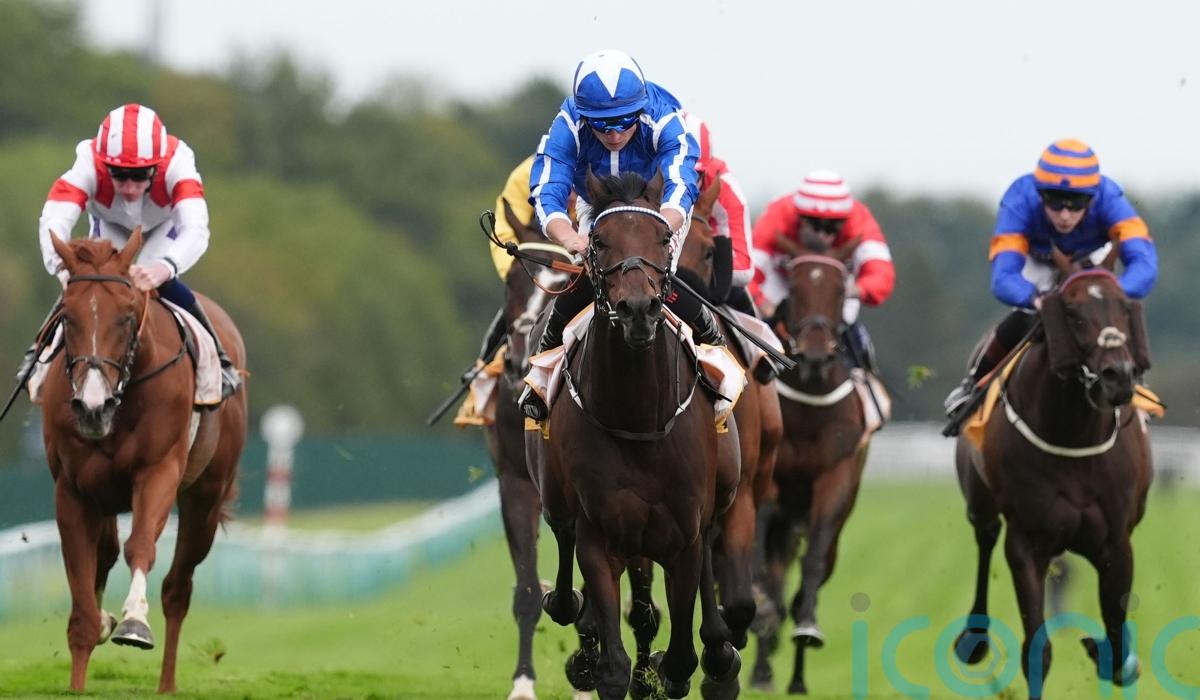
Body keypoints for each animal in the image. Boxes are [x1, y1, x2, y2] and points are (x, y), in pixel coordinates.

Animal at [42, 230, 247, 693]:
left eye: (127, 314)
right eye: (68, 316)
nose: (91, 408)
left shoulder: (158, 472)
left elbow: (141, 546)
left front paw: (134, 622)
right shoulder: (73, 490)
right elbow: (82, 603)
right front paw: (80, 676)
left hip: (205, 500)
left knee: (177, 588)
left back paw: (166, 683)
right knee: (105, 554)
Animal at [525, 170, 741, 700]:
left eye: (663, 239)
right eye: (599, 242)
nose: (639, 310)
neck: (639, 418)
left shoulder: (684, 532)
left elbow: (681, 654)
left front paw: (688, 663)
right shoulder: (600, 534)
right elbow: (613, 664)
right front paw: (600, 659)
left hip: (720, 494)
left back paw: (719, 651)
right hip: (557, 495)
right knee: (564, 549)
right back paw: (569, 611)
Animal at [751, 230, 874, 694]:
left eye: (841, 290)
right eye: (797, 286)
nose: (816, 356)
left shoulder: (835, 477)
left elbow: (815, 560)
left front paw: (806, 626)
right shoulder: (770, 482)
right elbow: (761, 567)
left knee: (806, 579)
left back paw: (795, 677)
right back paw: (762, 668)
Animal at [952, 266, 1152, 699]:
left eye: (1124, 308)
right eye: (1073, 315)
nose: (1118, 376)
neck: (1072, 433)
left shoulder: (1116, 543)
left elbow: (1116, 647)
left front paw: (1104, 651)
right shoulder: (1027, 543)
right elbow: (1036, 650)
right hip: (980, 499)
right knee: (985, 537)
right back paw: (973, 639)